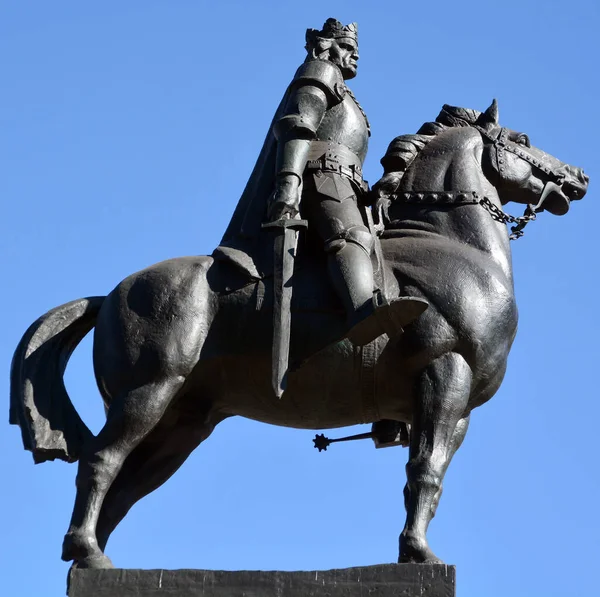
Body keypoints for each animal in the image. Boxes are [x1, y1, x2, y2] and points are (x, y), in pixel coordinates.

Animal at [11, 100, 588, 564]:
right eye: (522, 140)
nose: (578, 177)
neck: (454, 247)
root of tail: (111, 295)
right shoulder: (446, 374)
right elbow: (425, 471)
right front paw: (418, 554)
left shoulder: (458, 409)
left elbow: (429, 476)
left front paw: (413, 548)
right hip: (148, 393)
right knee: (100, 461)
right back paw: (87, 552)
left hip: (181, 424)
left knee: (124, 489)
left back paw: (92, 559)